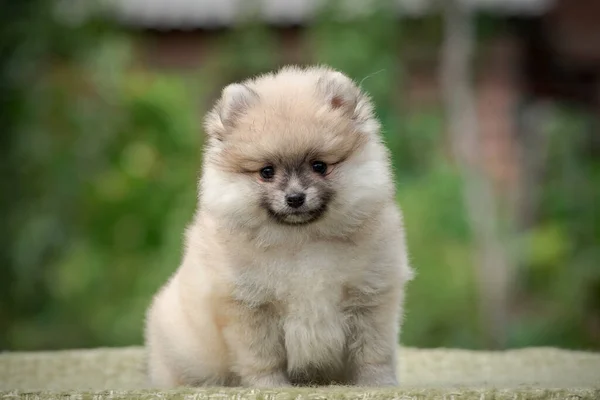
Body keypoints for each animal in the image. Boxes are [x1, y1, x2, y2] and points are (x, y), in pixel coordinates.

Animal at [145, 65, 412, 388]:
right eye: (267, 172)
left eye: (319, 166)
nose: (295, 198)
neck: (302, 240)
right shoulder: (249, 306)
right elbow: (263, 357)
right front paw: (270, 386)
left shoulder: (371, 295)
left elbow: (373, 351)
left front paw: (377, 384)